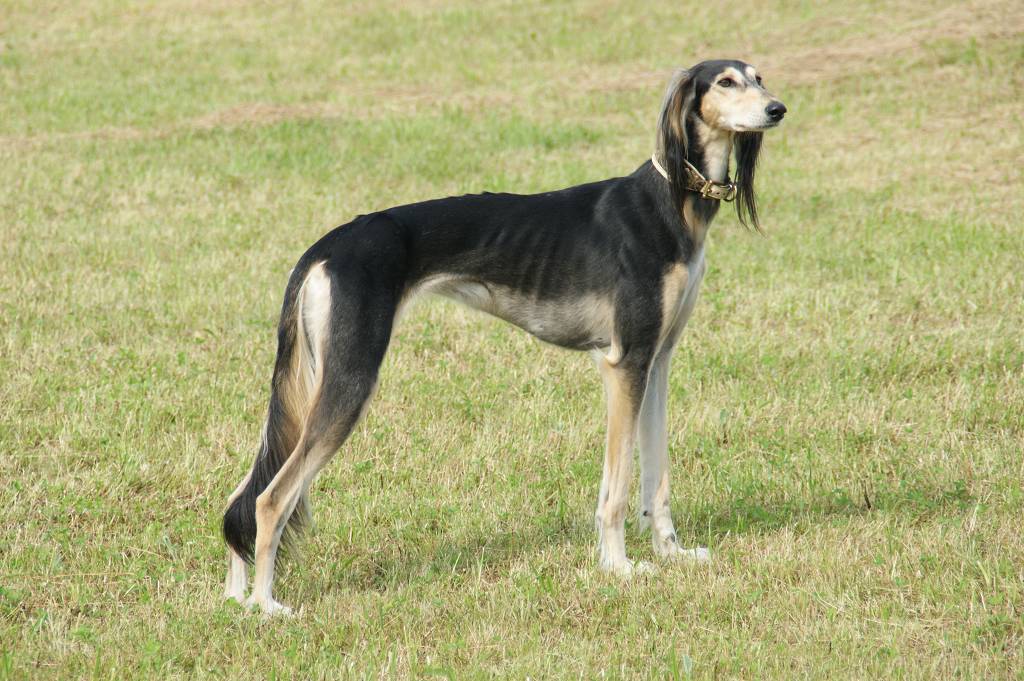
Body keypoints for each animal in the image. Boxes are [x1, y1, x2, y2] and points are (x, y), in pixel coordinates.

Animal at [222, 59, 787, 615]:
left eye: (758, 77)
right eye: (726, 81)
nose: (777, 109)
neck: (668, 203)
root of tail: (327, 245)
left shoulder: (656, 360)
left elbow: (657, 475)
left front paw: (671, 554)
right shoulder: (624, 363)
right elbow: (618, 486)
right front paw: (618, 567)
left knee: (241, 498)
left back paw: (237, 596)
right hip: (349, 379)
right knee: (269, 498)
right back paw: (267, 606)